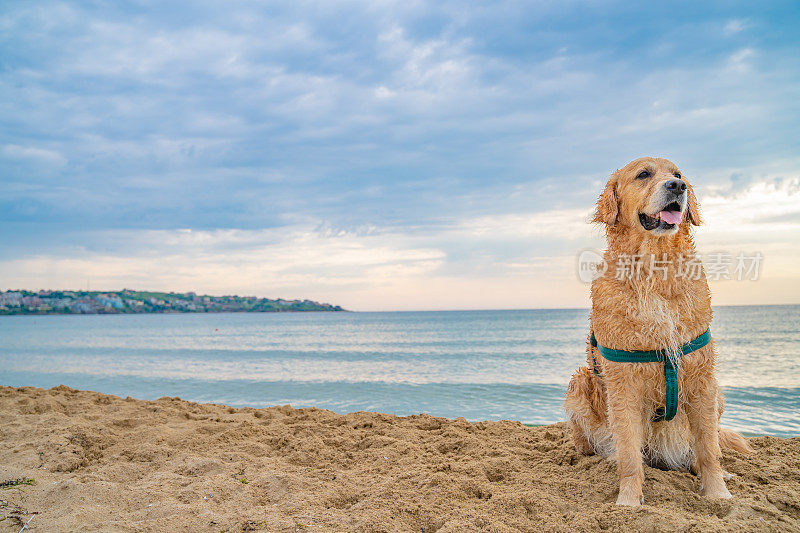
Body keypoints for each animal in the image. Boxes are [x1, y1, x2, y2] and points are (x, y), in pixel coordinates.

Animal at [564, 156, 752, 504]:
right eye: (643, 174)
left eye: (678, 175)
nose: (677, 187)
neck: (655, 270)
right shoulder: (623, 383)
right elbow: (629, 455)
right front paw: (628, 500)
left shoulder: (702, 377)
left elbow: (709, 449)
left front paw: (718, 492)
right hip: (579, 382)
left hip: (717, 391)